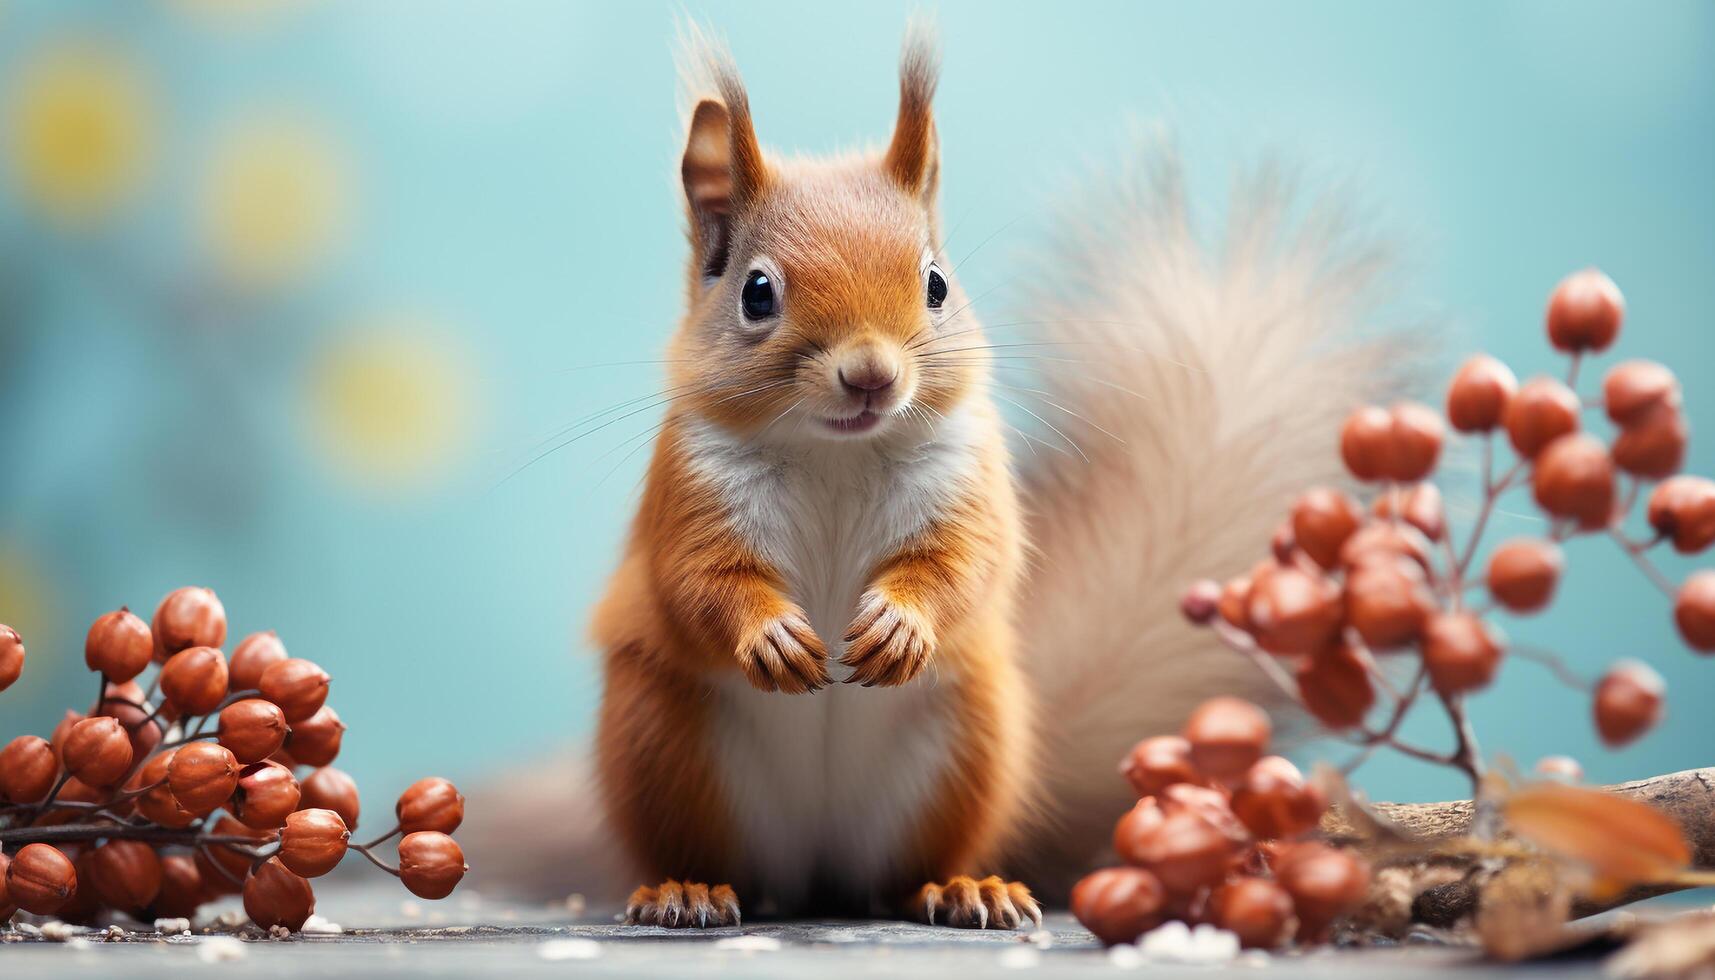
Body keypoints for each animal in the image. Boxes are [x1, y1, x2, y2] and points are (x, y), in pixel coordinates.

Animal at [565, 21, 1406, 926]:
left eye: (936, 283)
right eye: (757, 293)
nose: (870, 376)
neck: (836, 452)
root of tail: (817, 874)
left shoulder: (965, 483)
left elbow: (964, 566)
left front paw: (902, 625)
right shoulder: (691, 490)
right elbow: (700, 581)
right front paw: (772, 634)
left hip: (966, 745)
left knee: (902, 876)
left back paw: (962, 888)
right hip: (663, 740)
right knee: (713, 857)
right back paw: (685, 888)